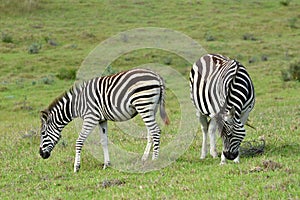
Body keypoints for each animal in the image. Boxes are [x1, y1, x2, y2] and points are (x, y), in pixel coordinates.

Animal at [39, 68, 170, 172]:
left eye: (43, 133)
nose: (41, 154)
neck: (77, 104)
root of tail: (156, 76)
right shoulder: (101, 120)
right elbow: (104, 141)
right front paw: (107, 164)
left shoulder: (90, 118)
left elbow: (79, 141)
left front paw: (76, 167)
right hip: (150, 108)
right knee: (151, 133)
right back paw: (144, 158)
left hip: (143, 104)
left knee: (155, 131)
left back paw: (154, 160)